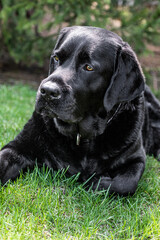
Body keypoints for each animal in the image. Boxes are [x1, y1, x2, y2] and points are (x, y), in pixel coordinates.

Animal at [0, 25, 160, 195]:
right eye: (56, 58)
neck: (82, 137)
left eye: (88, 67)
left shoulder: (136, 159)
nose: (47, 91)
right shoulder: (19, 146)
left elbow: (125, 183)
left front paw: (93, 182)